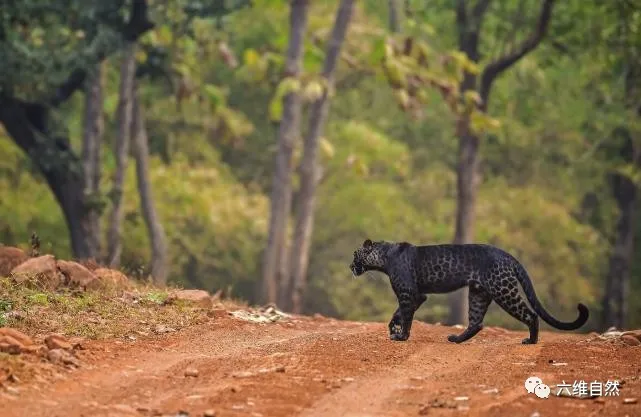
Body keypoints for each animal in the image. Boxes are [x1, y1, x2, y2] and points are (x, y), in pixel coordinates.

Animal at [350, 239, 592, 342]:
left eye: (355, 255)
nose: (350, 266)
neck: (384, 257)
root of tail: (507, 255)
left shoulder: (410, 293)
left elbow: (405, 314)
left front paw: (401, 336)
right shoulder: (418, 296)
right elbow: (398, 313)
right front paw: (394, 329)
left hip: (503, 290)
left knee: (531, 314)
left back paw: (531, 341)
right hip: (478, 293)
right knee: (476, 322)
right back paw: (457, 339)